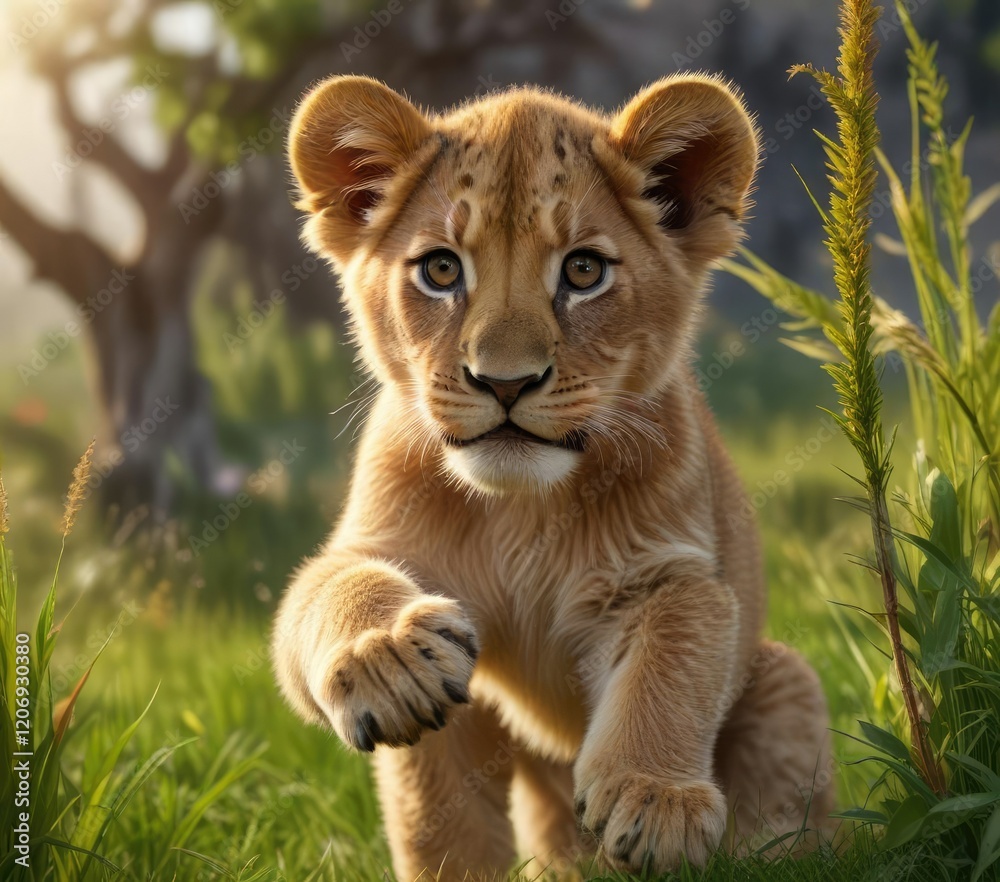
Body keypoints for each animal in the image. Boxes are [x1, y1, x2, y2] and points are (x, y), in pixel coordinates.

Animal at [271, 73, 834, 880]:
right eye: (441, 269)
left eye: (583, 270)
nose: (505, 382)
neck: (520, 508)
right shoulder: (379, 550)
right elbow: (329, 591)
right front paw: (386, 657)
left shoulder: (667, 570)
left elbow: (675, 652)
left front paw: (656, 804)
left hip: (786, 677)